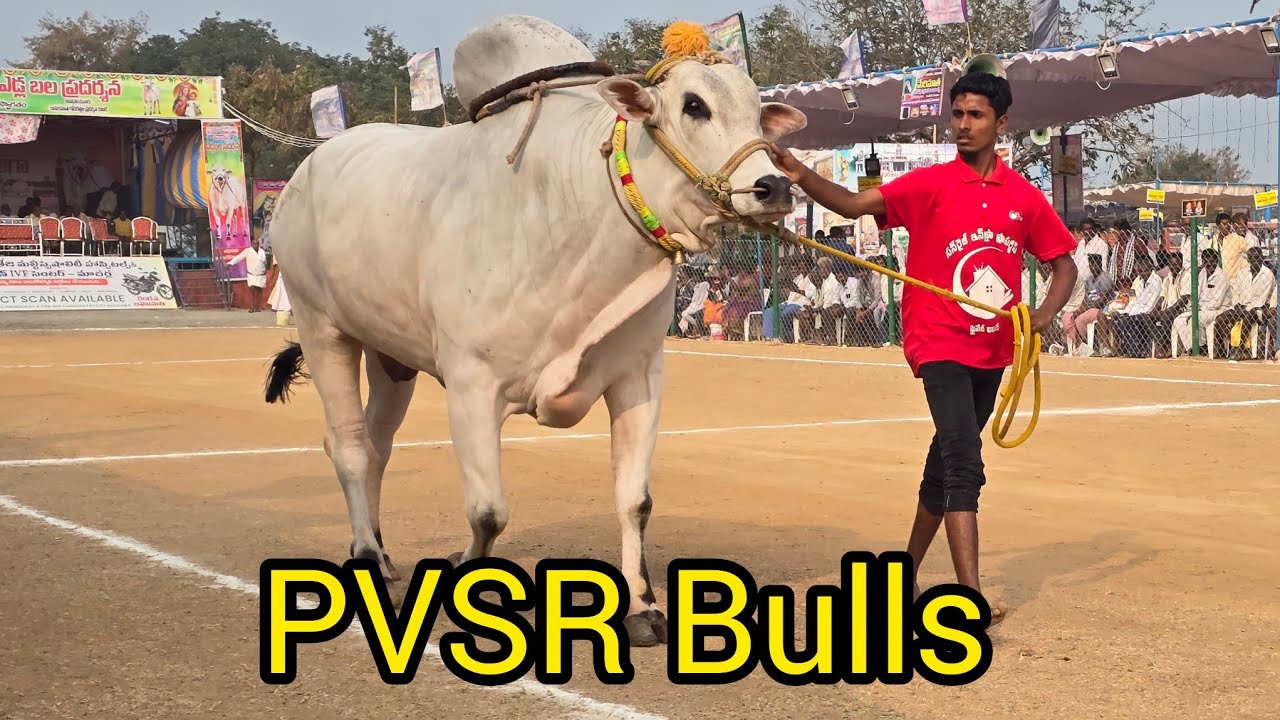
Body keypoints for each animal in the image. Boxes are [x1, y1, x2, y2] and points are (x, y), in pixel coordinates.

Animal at [261, 15, 806, 647]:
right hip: (322, 327)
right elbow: (488, 511)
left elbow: (635, 501)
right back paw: (368, 556)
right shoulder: (471, 384)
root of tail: (303, 173)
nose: (775, 188)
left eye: (757, 108)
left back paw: (378, 549)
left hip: (389, 356)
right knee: (347, 446)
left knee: (377, 445)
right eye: (694, 105)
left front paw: (643, 607)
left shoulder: (639, 376)